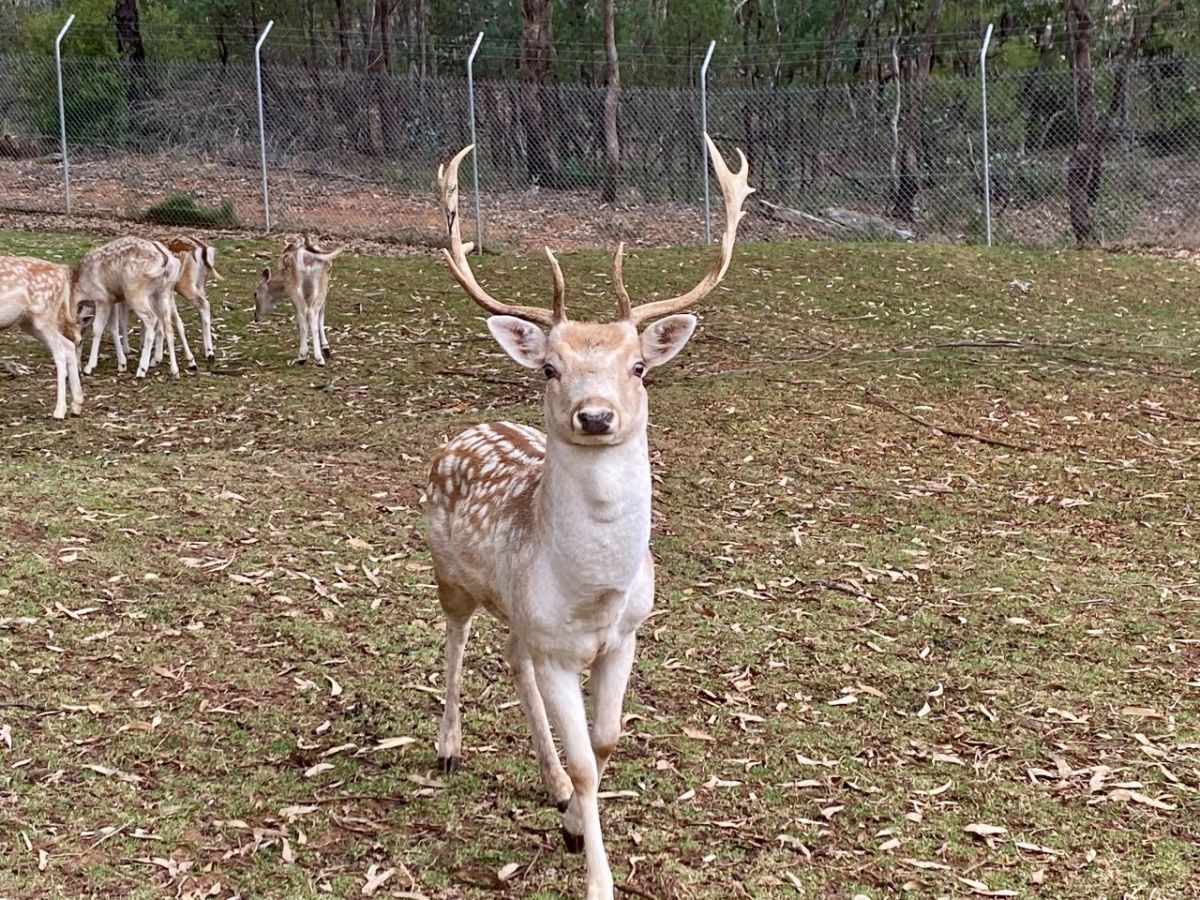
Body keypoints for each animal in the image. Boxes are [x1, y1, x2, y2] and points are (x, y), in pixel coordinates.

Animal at [0, 255, 83, 422]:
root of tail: (62, 271)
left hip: (44, 316)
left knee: (60, 352)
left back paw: (59, 411)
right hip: (30, 322)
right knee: (69, 345)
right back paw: (77, 405)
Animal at [74, 236, 182, 376]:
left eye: (79, 341)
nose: (77, 367)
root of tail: (165, 260)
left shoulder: (102, 299)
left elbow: (98, 328)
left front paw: (90, 366)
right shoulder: (112, 300)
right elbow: (114, 327)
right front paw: (122, 363)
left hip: (135, 293)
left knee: (152, 319)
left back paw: (142, 369)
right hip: (164, 292)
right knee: (168, 325)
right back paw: (174, 369)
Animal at [254, 240, 343, 369]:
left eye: (255, 293)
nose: (255, 317)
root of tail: (307, 259)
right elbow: (319, 316)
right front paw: (326, 349)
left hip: (297, 285)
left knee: (304, 312)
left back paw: (304, 356)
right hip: (320, 282)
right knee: (310, 312)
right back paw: (315, 358)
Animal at [422, 135, 748, 900]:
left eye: (638, 367)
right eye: (549, 367)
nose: (594, 416)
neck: (593, 592)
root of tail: (462, 434)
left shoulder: (624, 635)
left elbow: (603, 745)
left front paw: (572, 820)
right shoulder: (558, 648)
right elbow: (586, 761)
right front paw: (597, 875)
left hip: (518, 614)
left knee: (511, 661)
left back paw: (549, 786)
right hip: (448, 574)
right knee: (455, 640)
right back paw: (449, 747)